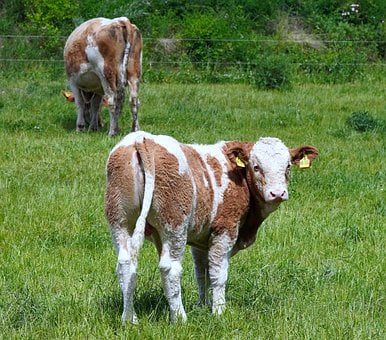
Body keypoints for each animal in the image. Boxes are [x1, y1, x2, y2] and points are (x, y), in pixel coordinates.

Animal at [104, 131, 318, 324]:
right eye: (256, 167)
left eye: (288, 166)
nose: (278, 193)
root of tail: (142, 139)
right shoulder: (225, 229)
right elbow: (218, 273)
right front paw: (219, 311)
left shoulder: (199, 240)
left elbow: (202, 273)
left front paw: (203, 306)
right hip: (175, 225)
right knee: (170, 268)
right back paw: (179, 319)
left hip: (119, 220)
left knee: (125, 264)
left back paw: (129, 319)